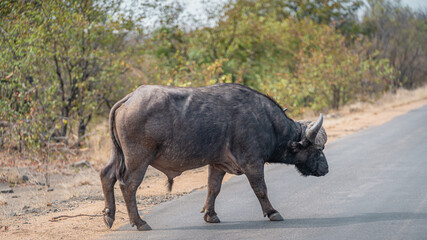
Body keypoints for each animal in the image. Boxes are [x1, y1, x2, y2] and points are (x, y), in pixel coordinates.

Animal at [101, 83, 332, 231]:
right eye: (318, 149)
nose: (326, 169)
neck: (267, 122)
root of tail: (129, 99)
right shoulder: (253, 163)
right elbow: (261, 189)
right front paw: (272, 212)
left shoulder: (218, 165)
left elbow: (213, 188)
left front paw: (210, 215)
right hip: (138, 159)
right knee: (129, 185)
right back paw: (139, 222)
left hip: (117, 155)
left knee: (107, 175)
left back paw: (109, 215)